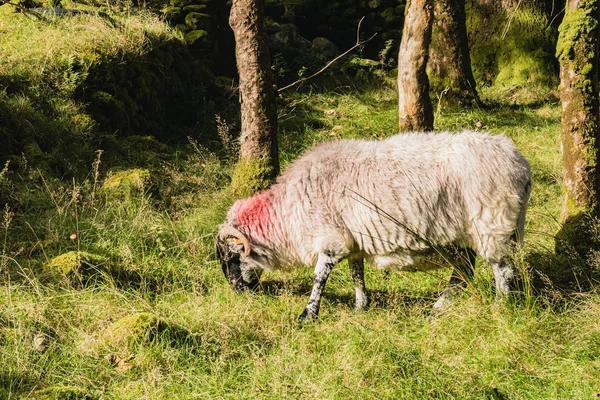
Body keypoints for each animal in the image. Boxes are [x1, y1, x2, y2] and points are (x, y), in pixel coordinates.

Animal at [214, 130, 528, 320]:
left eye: (231, 257)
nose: (236, 291)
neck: (287, 214)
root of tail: (519, 161)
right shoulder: (352, 243)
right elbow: (357, 274)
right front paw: (360, 307)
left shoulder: (331, 241)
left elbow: (319, 277)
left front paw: (308, 314)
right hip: (467, 232)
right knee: (465, 268)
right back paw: (441, 305)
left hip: (492, 224)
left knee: (502, 270)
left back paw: (500, 306)